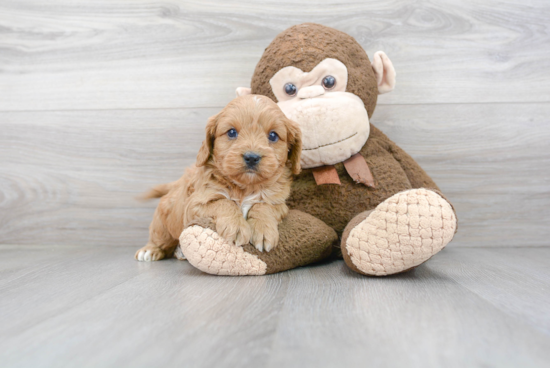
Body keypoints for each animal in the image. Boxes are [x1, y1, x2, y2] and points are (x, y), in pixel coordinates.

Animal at [136, 95, 304, 262]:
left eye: (273, 135)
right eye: (231, 132)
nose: (252, 157)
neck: (245, 187)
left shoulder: (279, 204)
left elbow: (263, 206)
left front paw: (263, 229)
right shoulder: (195, 204)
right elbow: (224, 202)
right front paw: (236, 226)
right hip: (162, 224)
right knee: (160, 238)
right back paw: (150, 250)